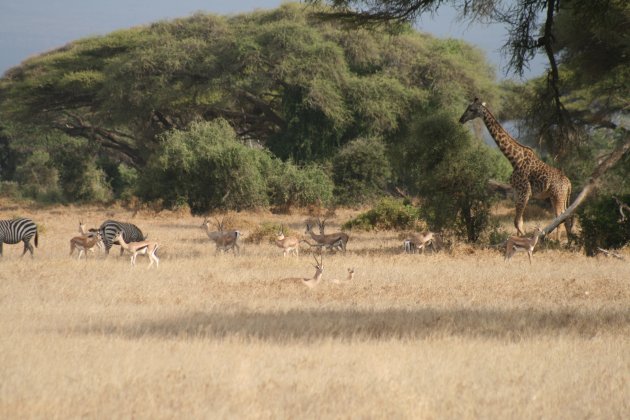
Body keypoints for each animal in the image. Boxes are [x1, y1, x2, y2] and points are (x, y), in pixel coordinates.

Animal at [460, 97, 572, 240]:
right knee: (566, 218)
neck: (514, 159)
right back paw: (569, 241)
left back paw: (558, 241)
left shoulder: (525, 192)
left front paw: (526, 239)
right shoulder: (517, 192)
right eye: (468, 107)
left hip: (558, 196)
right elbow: (520, 221)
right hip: (558, 197)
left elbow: (517, 222)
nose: (461, 119)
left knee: (560, 218)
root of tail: (568, 183)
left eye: (472, 109)